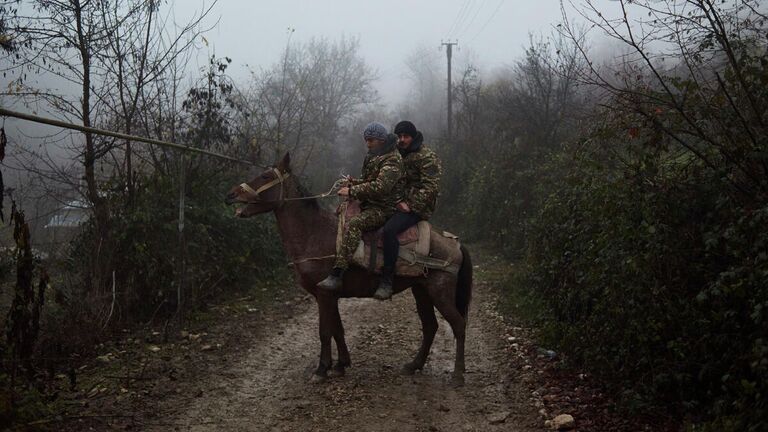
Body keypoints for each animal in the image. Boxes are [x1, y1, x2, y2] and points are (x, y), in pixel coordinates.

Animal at [225, 152, 472, 384]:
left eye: (266, 176)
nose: (231, 194)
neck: (313, 234)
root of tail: (455, 243)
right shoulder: (328, 294)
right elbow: (337, 329)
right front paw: (340, 365)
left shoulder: (324, 294)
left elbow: (325, 332)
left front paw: (321, 369)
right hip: (421, 291)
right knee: (430, 326)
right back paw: (414, 365)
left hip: (439, 292)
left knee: (458, 325)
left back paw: (458, 375)